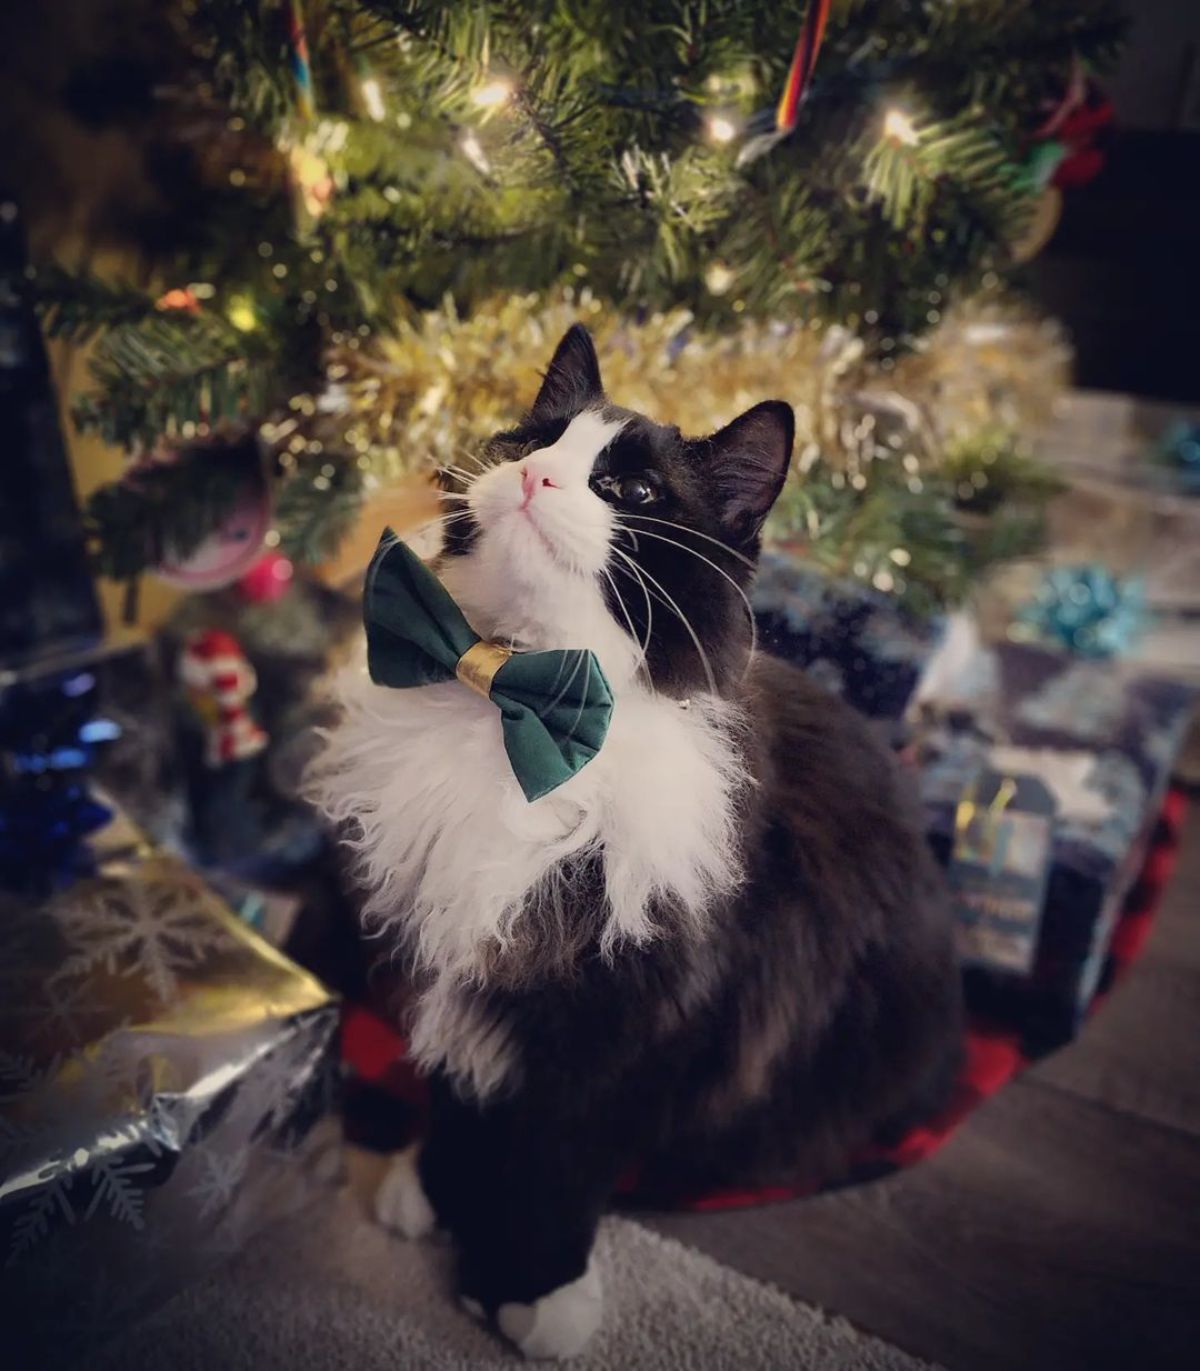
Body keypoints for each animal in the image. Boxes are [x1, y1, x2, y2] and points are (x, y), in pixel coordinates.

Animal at [312, 323, 965, 1360]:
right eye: (530, 441)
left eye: (634, 490)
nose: (536, 476)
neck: (515, 702)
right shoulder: (474, 954)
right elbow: (467, 1096)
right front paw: (447, 1192)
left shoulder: (625, 1026)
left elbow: (557, 1169)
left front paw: (531, 1287)